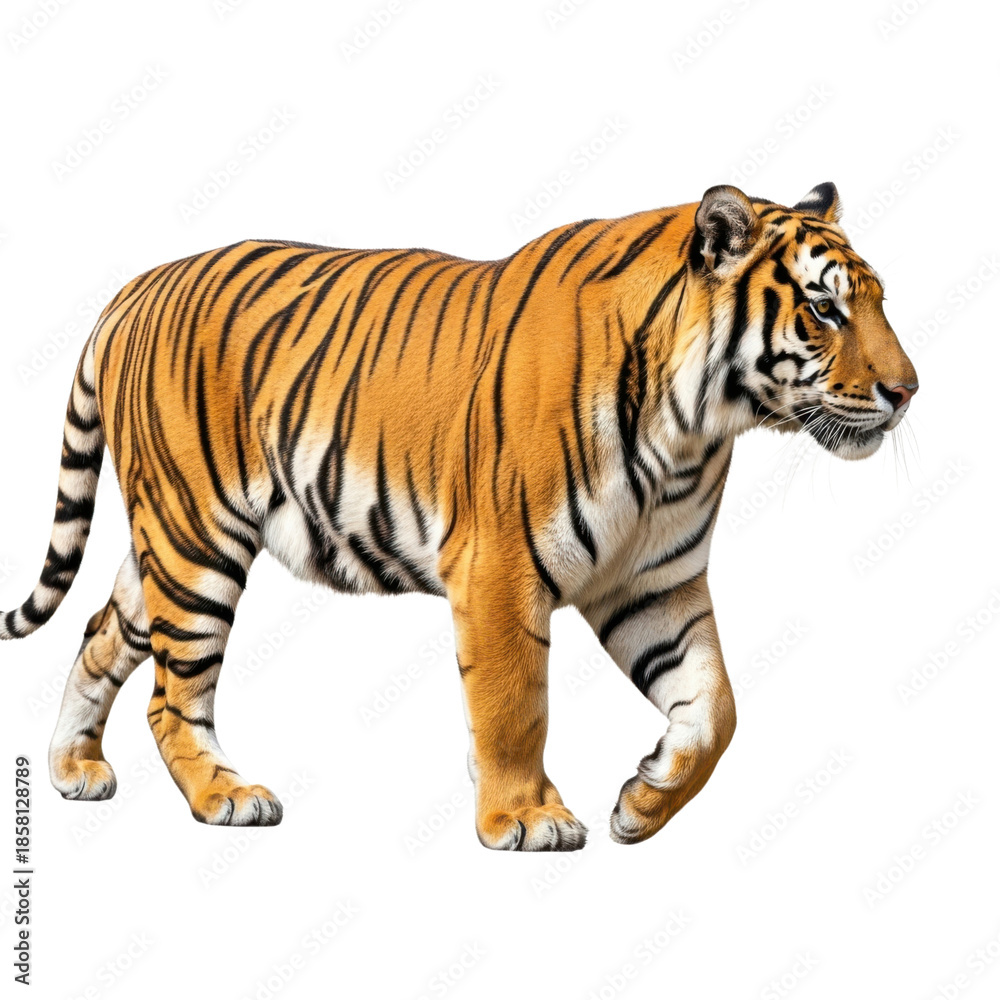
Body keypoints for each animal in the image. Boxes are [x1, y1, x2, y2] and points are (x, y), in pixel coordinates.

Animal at [1, 182, 917, 850]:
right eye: (825, 309)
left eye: (875, 301)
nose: (908, 391)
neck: (693, 428)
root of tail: (136, 285)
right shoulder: (502, 566)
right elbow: (515, 702)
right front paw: (527, 817)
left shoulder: (655, 582)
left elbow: (715, 708)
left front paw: (644, 802)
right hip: (196, 539)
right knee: (171, 695)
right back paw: (228, 795)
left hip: (165, 542)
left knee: (100, 634)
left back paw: (73, 769)